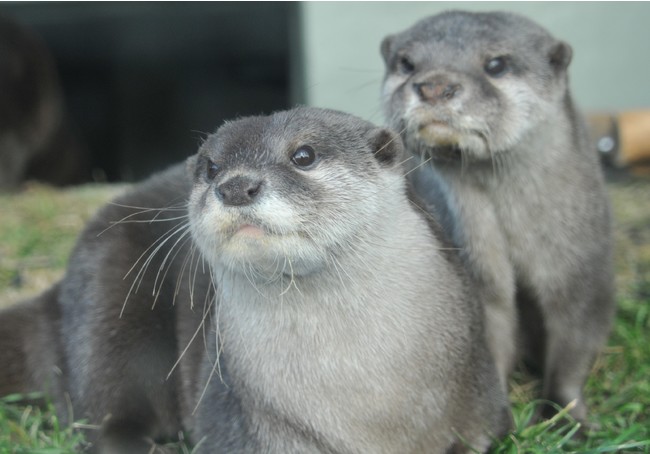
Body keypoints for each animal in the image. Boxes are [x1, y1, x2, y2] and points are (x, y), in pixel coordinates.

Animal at [0, 108, 508, 452]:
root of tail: (57, 289)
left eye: (304, 155)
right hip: (108, 292)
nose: (235, 186)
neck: (370, 406)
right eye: (211, 167)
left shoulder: (480, 410)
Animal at [378, 10, 616, 422]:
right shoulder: (478, 272)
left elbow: (573, 349)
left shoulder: (581, 272)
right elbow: (490, 336)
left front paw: (569, 416)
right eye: (406, 63)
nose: (436, 86)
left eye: (496, 65)